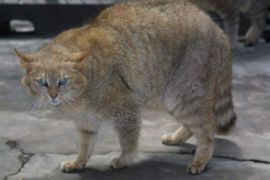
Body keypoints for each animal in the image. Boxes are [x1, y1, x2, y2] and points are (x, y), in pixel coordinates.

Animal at [14, 0, 235, 175]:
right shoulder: (86, 121)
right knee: (195, 126)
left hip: (182, 95)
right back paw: (176, 138)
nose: (53, 95)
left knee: (208, 128)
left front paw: (123, 160)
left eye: (62, 81)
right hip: (171, 99)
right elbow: (85, 146)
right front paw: (78, 162)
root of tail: (216, 28)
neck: (77, 97)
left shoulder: (127, 106)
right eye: (42, 83)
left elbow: (128, 140)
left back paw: (200, 161)